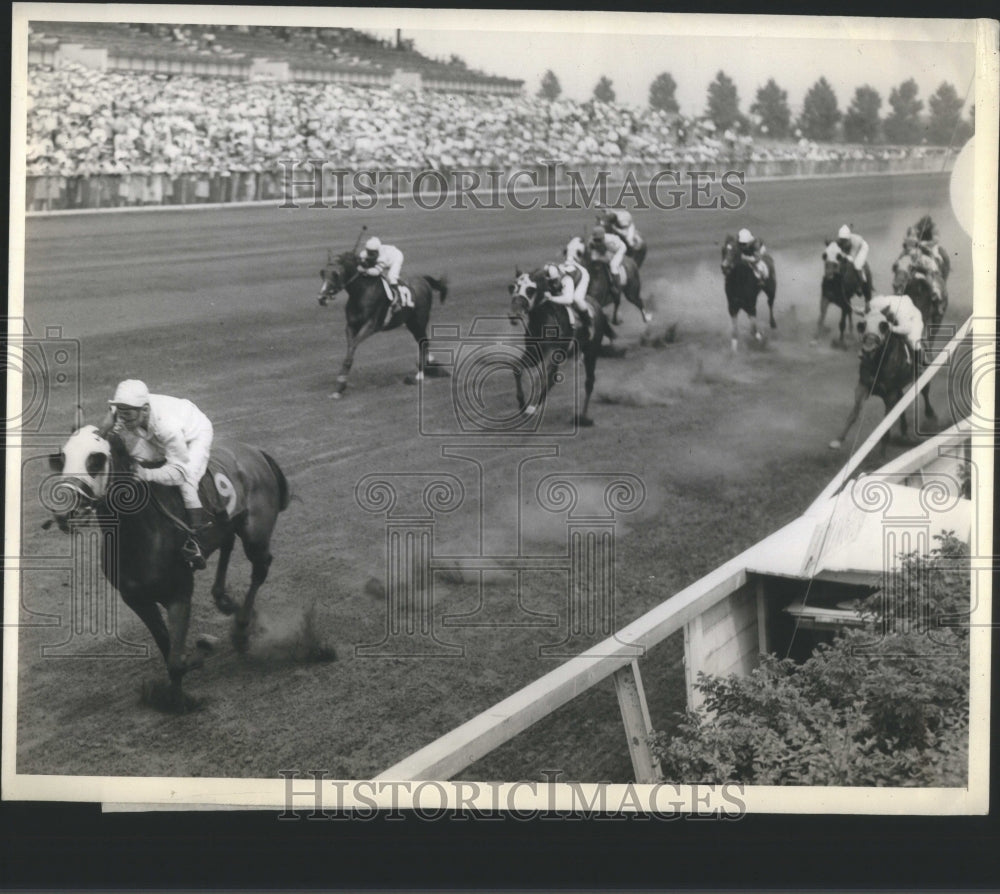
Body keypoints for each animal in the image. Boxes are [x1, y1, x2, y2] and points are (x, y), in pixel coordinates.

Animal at [46, 428, 292, 712]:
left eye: (95, 459)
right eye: (62, 459)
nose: (65, 512)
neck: (139, 535)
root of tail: (255, 451)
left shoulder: (179, 593)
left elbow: (175, 659)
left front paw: (184, 689)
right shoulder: (136, 599)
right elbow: (167, 648)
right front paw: (179, 688)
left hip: (255, 534)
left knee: (260, 568)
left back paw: (241, 629)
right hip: (227, 526)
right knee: (228, 544)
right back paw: (225, 600)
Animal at [320, 247, 450, 398]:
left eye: (336, 274)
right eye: (322, 273)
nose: (321, 298)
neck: (362, 291)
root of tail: (423, 279)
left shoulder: (371, 325)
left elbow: (353, 346)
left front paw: (340, 384)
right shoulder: (350, 326)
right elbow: (350, 348)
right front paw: (340, 385)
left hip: (419, 322)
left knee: (424, 343)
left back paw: (420, 374)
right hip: (411, 323)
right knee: (422, 343)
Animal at [508, 266, 608, 428]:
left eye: (530, 290)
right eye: (513, 287)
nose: (513, 314)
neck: (542, 321)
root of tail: (596, 304)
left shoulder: (551, 355)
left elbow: (543, 378)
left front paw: (531, 407)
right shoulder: (533, 354)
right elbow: (517, 368)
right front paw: (522, 402)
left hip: (591, 353)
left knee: (589, 382)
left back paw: (583, 418)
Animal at [828, 310, 936, 456]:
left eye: (883, 326)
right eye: (862, 325)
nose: (867, 349)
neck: (878, 363)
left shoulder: (890, 393)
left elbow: (886, 419)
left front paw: (882, 451)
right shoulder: (863, 386)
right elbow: (854, 413)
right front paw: (838, 440)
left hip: (920, 375)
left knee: (925, 392)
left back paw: (931, 415)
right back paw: (904, 432)